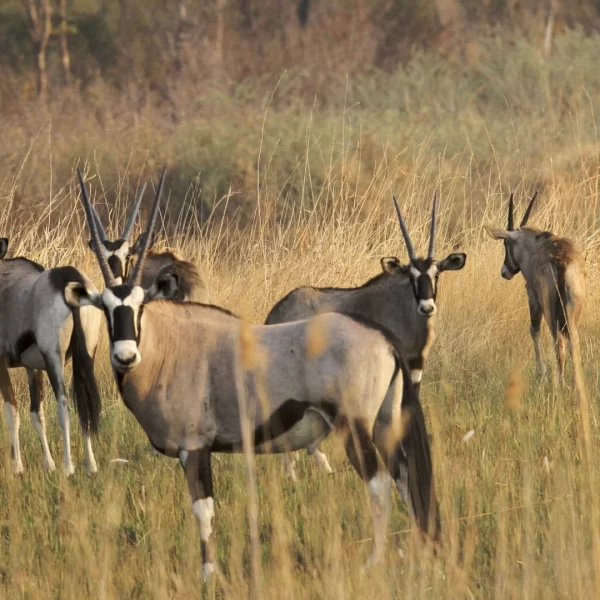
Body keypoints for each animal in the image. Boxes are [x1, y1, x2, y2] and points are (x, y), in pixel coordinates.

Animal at [0, 237, 102, 476]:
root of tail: (69, 280)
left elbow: (12, 412)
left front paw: (18, 467)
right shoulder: (33, 368)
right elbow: (37, 414)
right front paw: (48, 465)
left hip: (54, 359)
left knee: (64, 406)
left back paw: (68, 467)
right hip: (85, 358)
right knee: (84, 404)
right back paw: (90, 465)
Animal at [75, 168, 440, 576]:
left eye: (140, 306)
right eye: (106, 308)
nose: (125, 356)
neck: (169, 345)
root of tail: (384, 340)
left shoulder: (194, 448)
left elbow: (203, 511)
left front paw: (208, 574)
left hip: (355, 427)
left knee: (379, 484)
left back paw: (373, 562)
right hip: (386, 424)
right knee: (405, 478)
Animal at [266, 192, 464, 478]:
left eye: (437, 273)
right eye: (411, 276)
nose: (427, 307)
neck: (403, 309)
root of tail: (275, 312)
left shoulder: (416, 367)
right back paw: (293, 473)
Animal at [482, 192, 584, 380]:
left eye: (505, 244)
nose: (504, 271)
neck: (537, 243)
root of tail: (561, 260)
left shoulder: (533, 297)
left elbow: (534, 330)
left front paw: (540, 372)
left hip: (550, 309)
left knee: (558, 344)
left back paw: (559, 382)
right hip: (572, 311)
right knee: (573, 343)